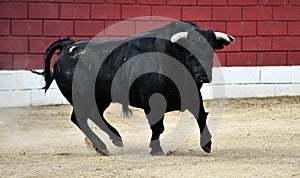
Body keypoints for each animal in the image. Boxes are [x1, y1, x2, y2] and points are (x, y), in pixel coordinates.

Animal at [34, 20, 233, 155]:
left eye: (211, 51)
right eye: (189, 51)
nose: (203, 76)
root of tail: (68, 45)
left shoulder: (192, 94)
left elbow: (201, 115)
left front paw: (206, 144)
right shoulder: (152, 103)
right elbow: (157, 126)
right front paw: (156, 149)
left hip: (100, 98)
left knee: (91, 116)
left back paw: (115, 139)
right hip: (83, 97)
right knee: (80, 118)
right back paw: (102, 146)